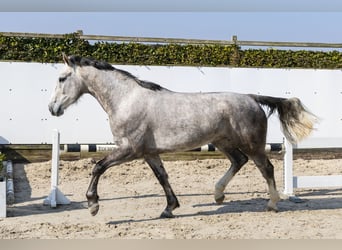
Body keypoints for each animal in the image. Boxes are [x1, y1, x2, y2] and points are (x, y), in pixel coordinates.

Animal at [47, 55, 316, 219]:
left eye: (61, 78)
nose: (52, 109)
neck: (126, 100)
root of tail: (251, 98)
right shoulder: (149, 153)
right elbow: (162, 177)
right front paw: (169, 208)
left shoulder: (129, 149)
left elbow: (98, 167)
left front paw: (93, 204)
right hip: (223, 142)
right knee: (239, 161)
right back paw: (218, 194)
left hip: (252, 144)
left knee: (266, 168)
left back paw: (272, 204)